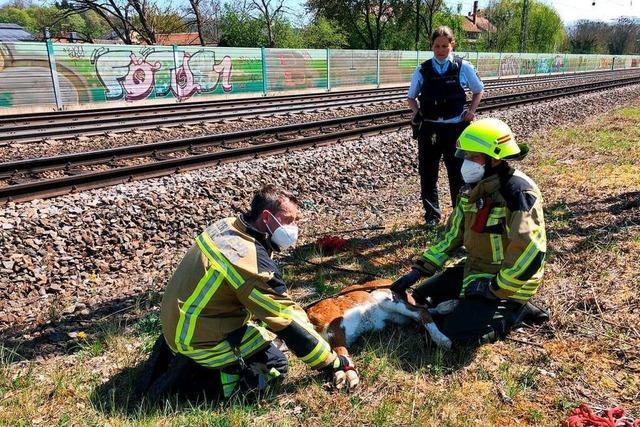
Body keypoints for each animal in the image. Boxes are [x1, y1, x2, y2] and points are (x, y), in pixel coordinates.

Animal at [304, 280, 456, 390]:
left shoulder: (334, 329)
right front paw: (339, 377)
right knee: (424, 310)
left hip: (384, 297)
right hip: (397, 316)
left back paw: (442, 339)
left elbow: (342, 352)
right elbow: (335, 357)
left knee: (421, 312)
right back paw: (448, 306)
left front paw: (351, 378)